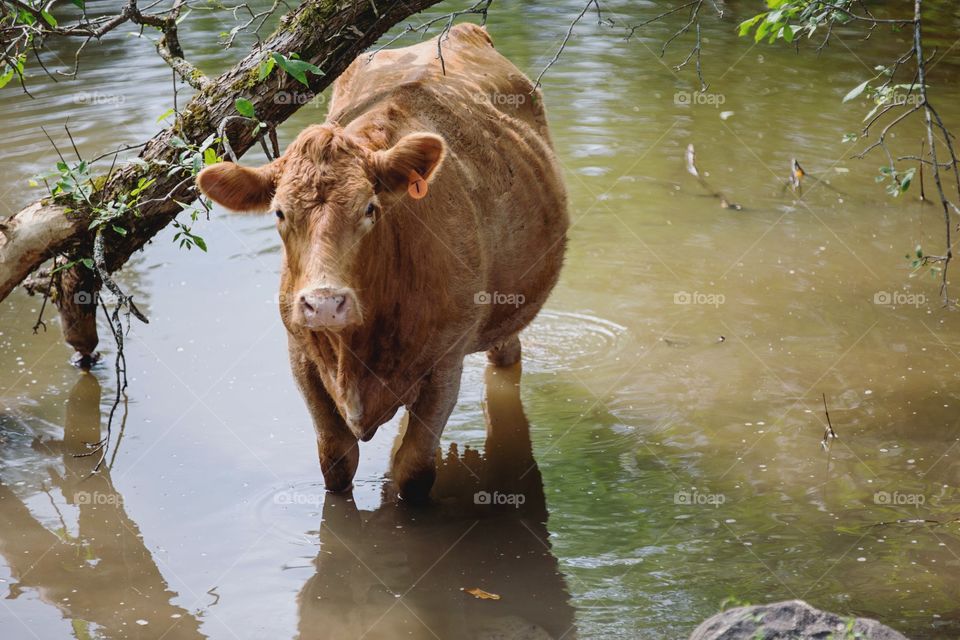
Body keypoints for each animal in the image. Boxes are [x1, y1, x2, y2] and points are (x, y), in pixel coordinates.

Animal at [198, 25, 568, 500]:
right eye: (279, 212)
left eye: (370, 209)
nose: (324, 304)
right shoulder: (301, 357)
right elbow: (335, 461)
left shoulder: (445, 365)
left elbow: (413, 470)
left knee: (506, 358)